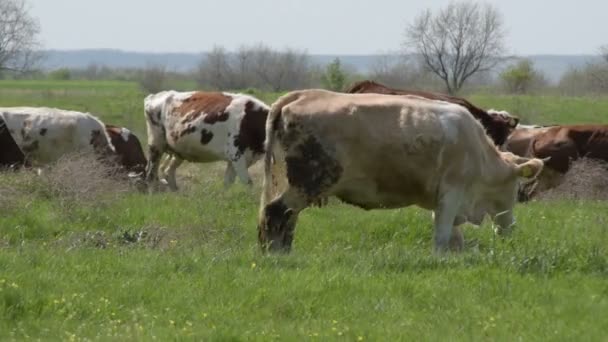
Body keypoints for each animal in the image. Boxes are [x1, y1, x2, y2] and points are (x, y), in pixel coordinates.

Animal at [256, 89, 548, 252]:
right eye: (515, 188)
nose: (510, 229)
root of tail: (303, 94)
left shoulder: (445, 200)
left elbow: (455, 240)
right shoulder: (452, 193)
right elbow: (442, 236)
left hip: (291, 183)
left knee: (284, 218)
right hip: (306, 183)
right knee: (276, 213)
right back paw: (277, 255)